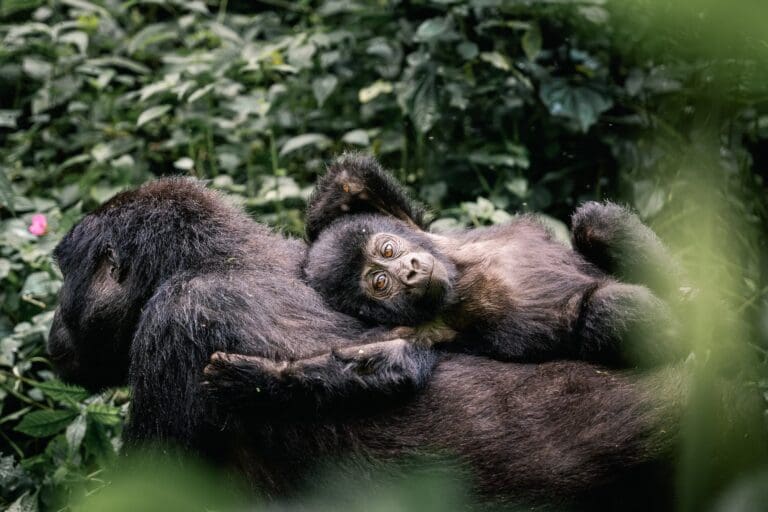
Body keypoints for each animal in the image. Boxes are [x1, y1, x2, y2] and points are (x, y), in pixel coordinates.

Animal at [301, 153, 681, 367]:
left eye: (388, 250)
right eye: (380, 282)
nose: (409, 271)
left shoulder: (416, 228)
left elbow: (348, 179)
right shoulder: (415, 332)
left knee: (595, 223)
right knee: (606, 310)